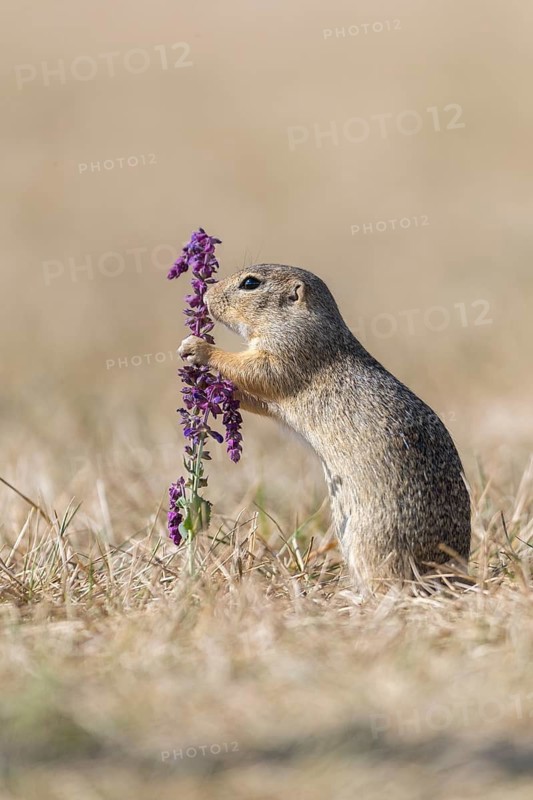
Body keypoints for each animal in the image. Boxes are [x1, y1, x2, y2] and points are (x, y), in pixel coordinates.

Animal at [178, 264, 471, 594]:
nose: (205, 294)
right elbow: (258, 397)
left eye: (250, 283)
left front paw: (198, 347)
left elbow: (258, 371)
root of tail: (451, 575)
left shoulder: (288, 351)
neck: (313, 324)